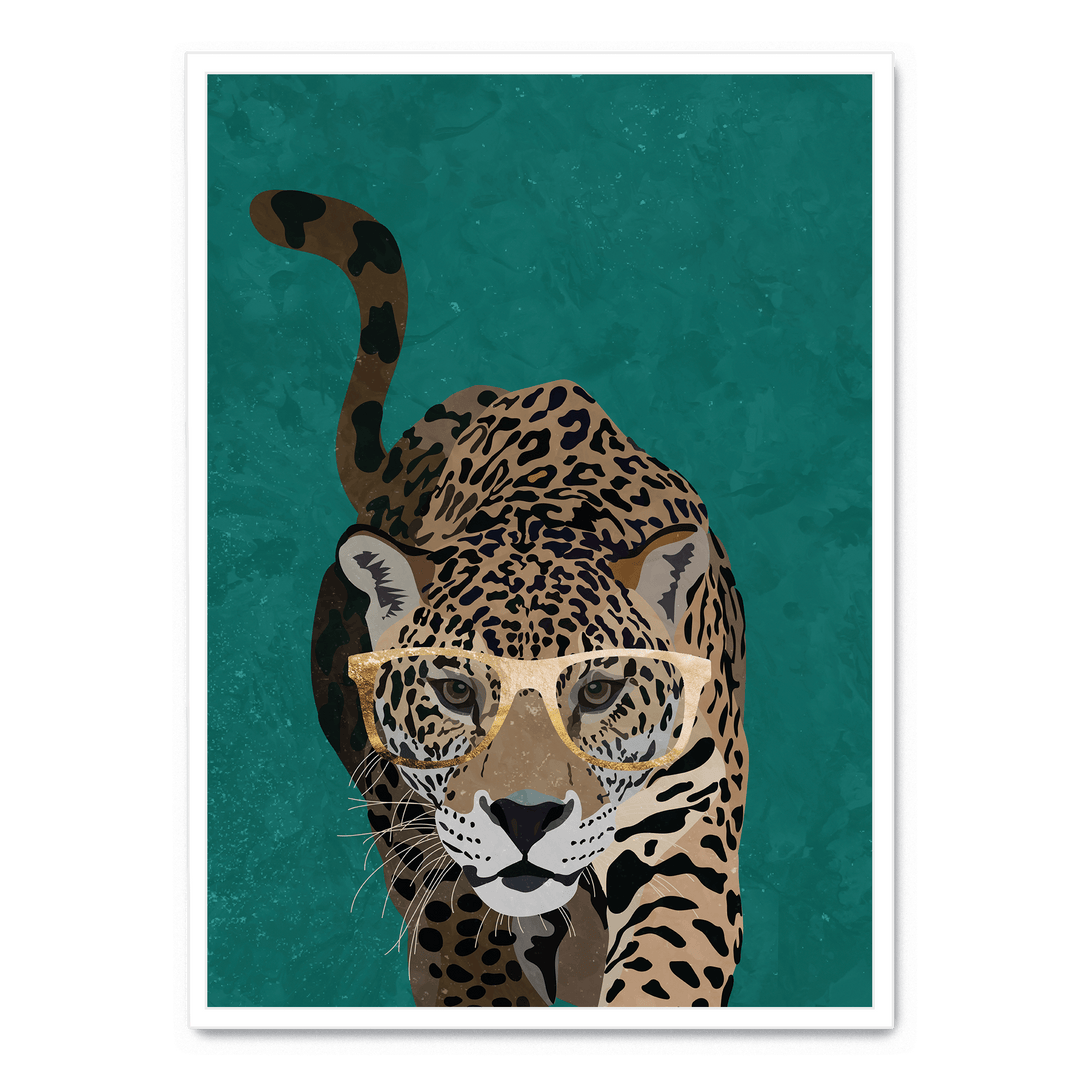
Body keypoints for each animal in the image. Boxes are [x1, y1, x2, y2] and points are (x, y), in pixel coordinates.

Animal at [250, 189, 748, 1007]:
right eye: (454, 691)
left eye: (600, 691)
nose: (526, 817)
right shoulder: (425, 840)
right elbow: (465, 953)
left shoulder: (687, 833)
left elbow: (667, 970)